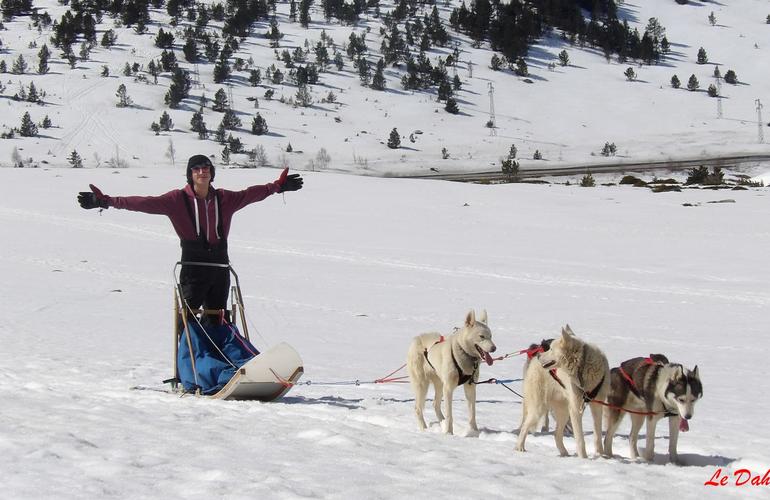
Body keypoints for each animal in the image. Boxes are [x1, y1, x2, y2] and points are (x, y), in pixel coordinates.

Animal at [512, 326, 608, 458]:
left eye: (551, 349)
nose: (539, 356)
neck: (582, 366)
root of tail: (533, 362)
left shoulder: (597, 405)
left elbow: (598, 435)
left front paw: (601, 455)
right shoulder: (575, 409)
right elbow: (580, 439)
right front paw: (583, 458)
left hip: (563, 412)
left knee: (557, 434)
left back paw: (564, 453)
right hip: (539, 408)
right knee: (525, 426)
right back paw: (519, 447)